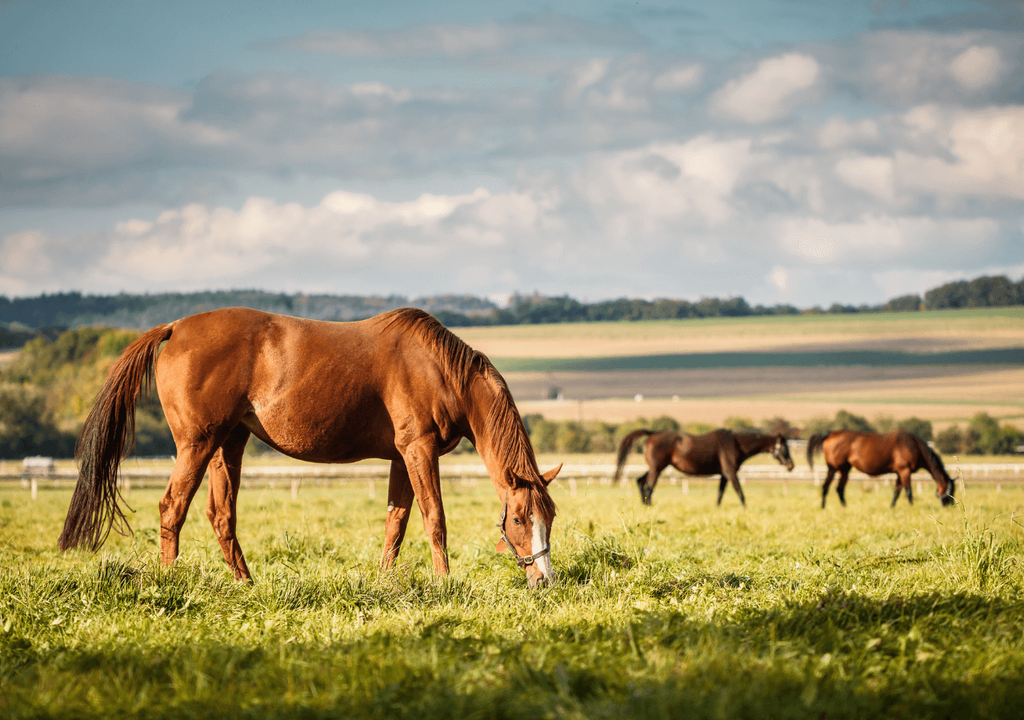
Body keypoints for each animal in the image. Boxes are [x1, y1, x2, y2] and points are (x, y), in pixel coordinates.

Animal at [58, 307, 562, 588]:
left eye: (550, 518)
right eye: (519, 519)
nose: (544, 581)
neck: (438, 369)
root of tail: (176, 327)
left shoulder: (401, 458)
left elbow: (395, 523)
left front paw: (386, 583)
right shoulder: (418, 451)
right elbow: (433, 518)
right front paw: (444, 583)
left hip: (228, 444)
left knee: (221, 516)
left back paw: (246, 584)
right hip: (197, 444)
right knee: (172, 507)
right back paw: (170, 580)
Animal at [614, 428, 794, 506]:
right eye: (784, 449)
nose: (792, 465)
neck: (736, 444)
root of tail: (653, 434)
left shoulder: (724, 475)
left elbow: (720, 494)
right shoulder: (730, 472)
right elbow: (740, 492)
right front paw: (745, 508)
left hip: (655, 467)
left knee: (640, 481)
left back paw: (645, 504)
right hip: (657, 468)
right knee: (649, 486)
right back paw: (649, 505)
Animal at [806, 429, 955, 508]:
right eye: (950, 490)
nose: (950, 505)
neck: (914, 446)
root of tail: (830, 434)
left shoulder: (899, 473)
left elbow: (897, 491)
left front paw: (892, 507)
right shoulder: (904, 471)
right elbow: (908, 491)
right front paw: (911, 506)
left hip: (844, 469)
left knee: (839, 488)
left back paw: (845, 506)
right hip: (833, 468)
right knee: (826, 486)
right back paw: (823, 507)